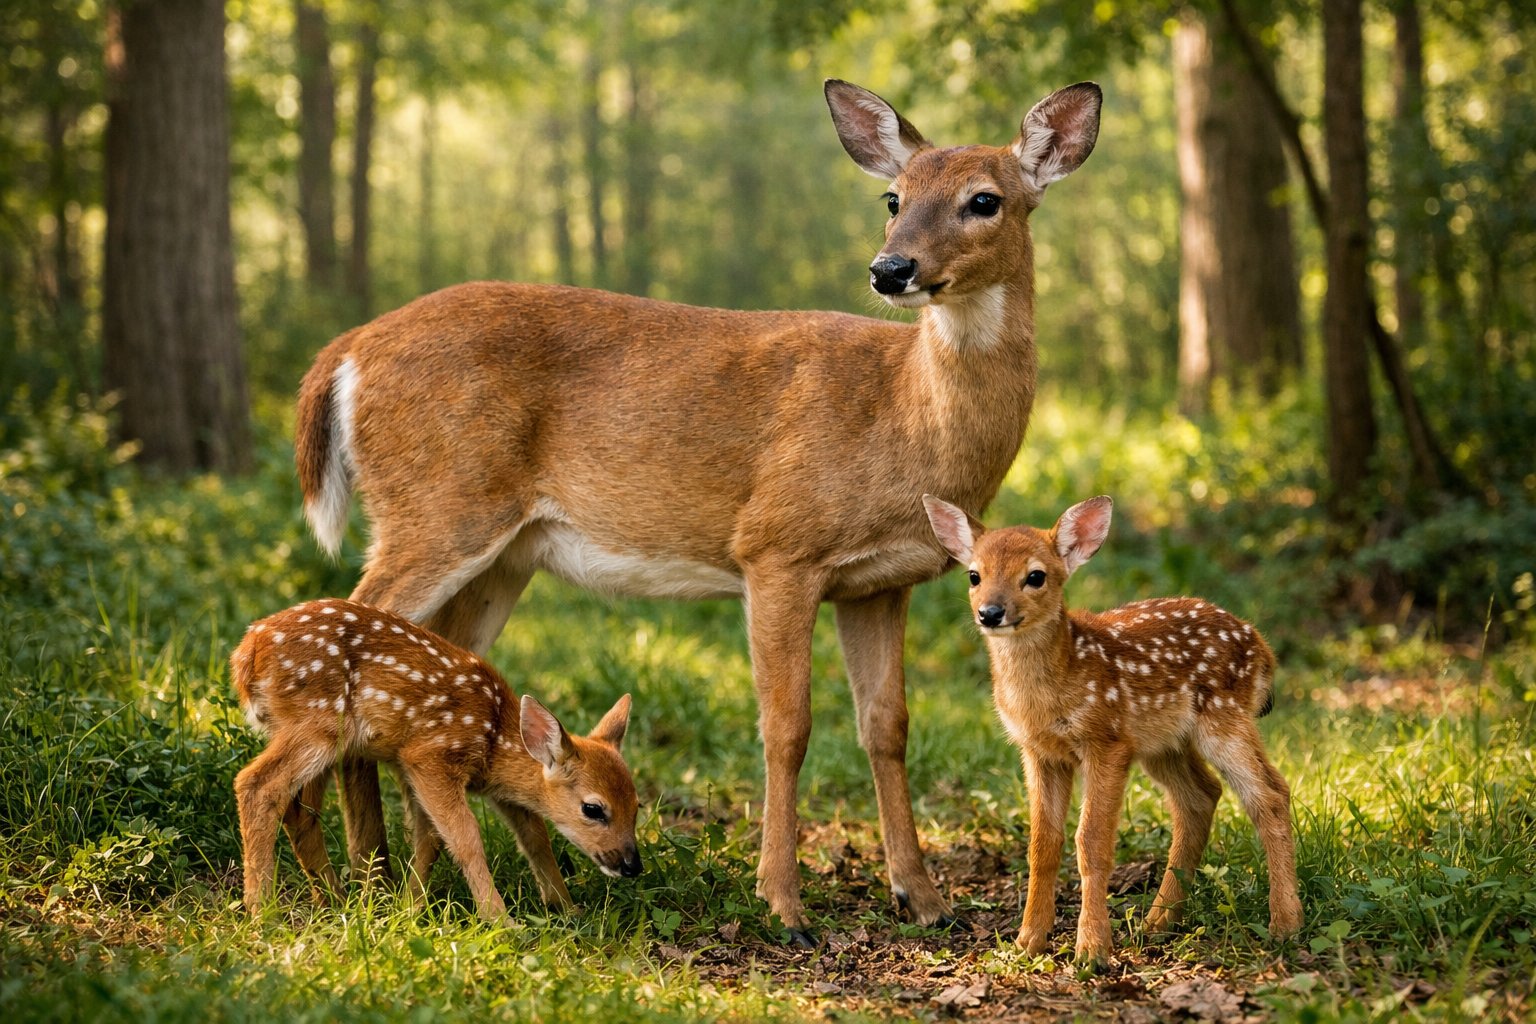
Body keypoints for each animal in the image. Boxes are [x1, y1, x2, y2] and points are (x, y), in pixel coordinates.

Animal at [231, 599, 641, 923]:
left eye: (638, 806)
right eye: (593, 809)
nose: (632, 865)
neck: (493, 733)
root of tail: (246, 654)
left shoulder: (464, 781)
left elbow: (523, 838)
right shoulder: (429, 754)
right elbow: (464, 837)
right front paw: (499, 920)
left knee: (298, 811)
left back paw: (334, 901)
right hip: (318, 724)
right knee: (256, 784)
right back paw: (263, 911)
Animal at [291, 78, 1102, 943]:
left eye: (984, 199)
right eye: (894, 196)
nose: (891, 268)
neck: (903, 412)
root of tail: (344, 353)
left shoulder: (882, 582)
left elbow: (886, 727)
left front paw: (922, 898)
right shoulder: (777, 547)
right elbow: (787, 726)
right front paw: (784, 905)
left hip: (501, 553)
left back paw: (400, 875)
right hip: (437, 506)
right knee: (351, 630)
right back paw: (344, 873)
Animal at [923, 495, 1303, 964]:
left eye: (1035, 576)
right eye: (974, 575)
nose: (990, 613)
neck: (1053, 687)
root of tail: (1263, 648)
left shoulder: (1106, 741)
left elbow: (1092, 843)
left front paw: (1091, 950)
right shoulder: (1040, 752)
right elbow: (1042, 844)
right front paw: (1028, 942)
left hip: (1223, 719)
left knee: (1269, 793)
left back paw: (1285, 924)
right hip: (1163, 744)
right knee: (1200, 797)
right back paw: (1158, 922)